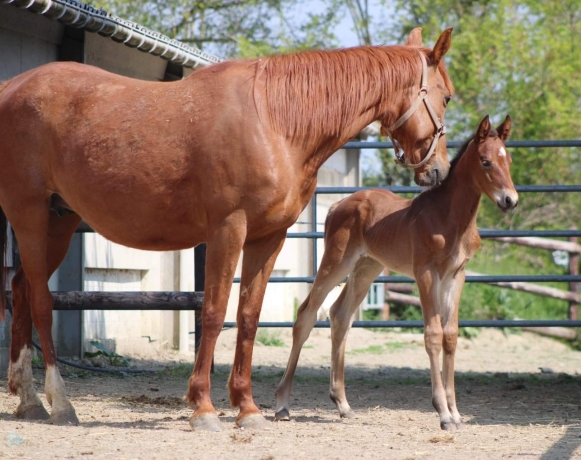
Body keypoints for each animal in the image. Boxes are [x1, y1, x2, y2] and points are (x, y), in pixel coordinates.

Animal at [0, 29, 454, 432]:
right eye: (447, 96)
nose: (439, 171)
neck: (274, 121)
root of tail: (11, 87)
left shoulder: (269, 238)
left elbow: (249, 317)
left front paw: (247, 408)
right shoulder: (227, 229)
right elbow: (215, 312)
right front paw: (203, 408)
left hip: (60, 220)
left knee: (21, 289)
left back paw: (28, 401)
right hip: (29, 214)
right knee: (40, 300)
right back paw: (60, 402)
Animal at [276, 116, 516, 432]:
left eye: (508, 160)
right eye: (486, 161)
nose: (510, 200)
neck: (450, 218)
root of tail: (337, 206)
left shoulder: (456, 275)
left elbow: (450, 336)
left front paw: (456, 413)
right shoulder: (426, 273)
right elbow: (433, 335)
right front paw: (442, 413)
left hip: (367, 268)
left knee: (340, 316)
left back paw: (343, 404)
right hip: (336, 263)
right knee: (306, 314)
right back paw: (282, 404)